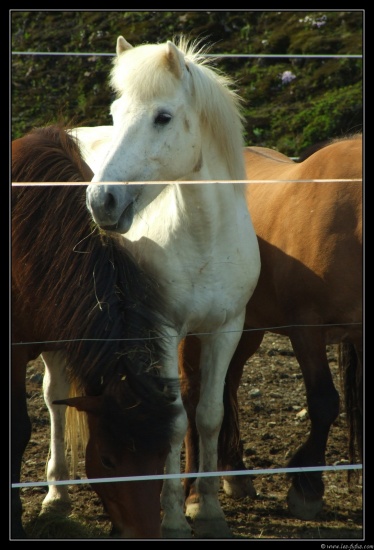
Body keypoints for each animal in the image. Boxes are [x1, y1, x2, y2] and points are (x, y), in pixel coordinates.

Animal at [82, 36, 260, 540]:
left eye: (162, 117)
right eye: (116, 112)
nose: (101, 201)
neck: (204, 235)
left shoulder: (226, 329)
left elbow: (209, 415)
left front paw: (211, 511)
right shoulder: (162, 329)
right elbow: (177, 419)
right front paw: (175, 517)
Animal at [181, 136, 362, 524]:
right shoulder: (305, 328)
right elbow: (324, 402)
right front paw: (306, 488)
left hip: (247, 329)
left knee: (228, 385)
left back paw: (234, 472)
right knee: (193, 395)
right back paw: (193, 492)